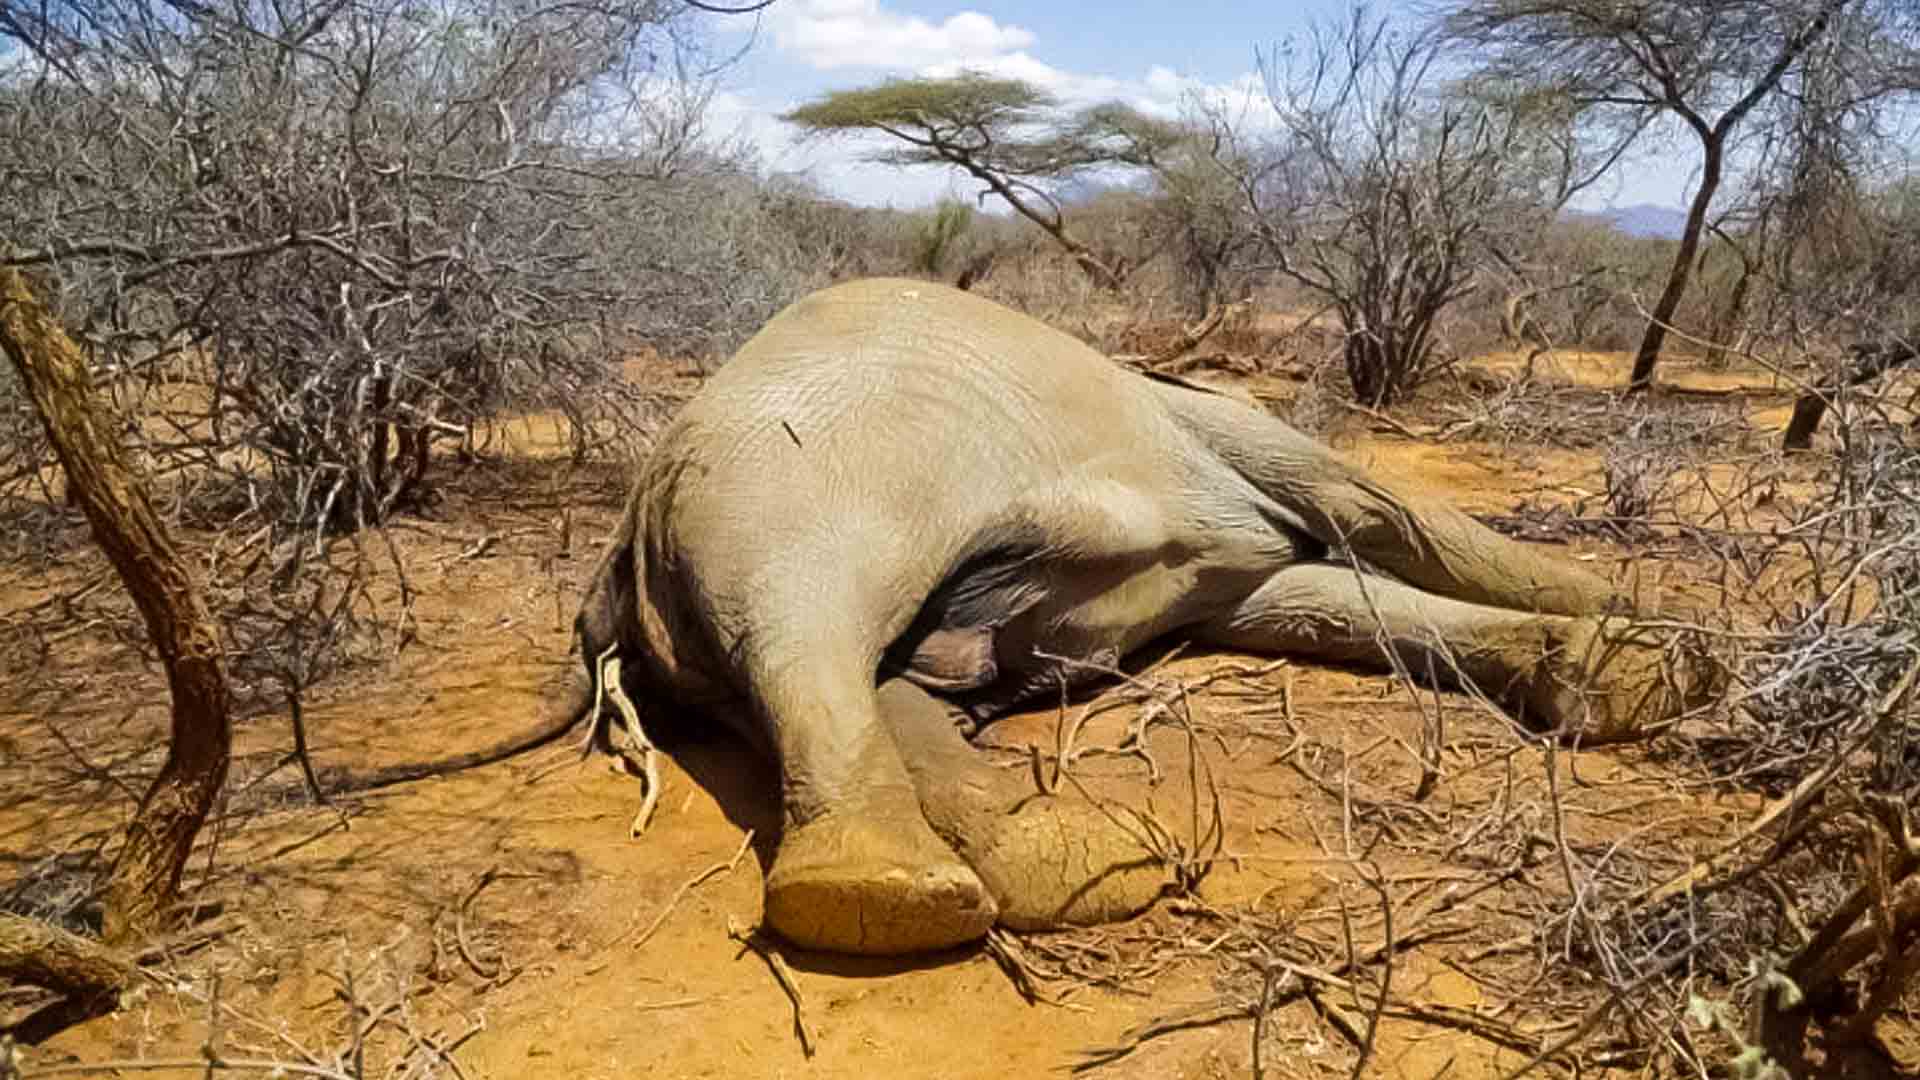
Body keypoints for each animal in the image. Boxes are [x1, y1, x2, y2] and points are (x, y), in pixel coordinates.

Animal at [570, 276, 1712, 958]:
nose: (984, 648)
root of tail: (634, 518)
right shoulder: (1229, 434)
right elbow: (1374, 513)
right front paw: (1657, 647)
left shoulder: (1217, 556)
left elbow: (1321, 603)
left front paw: (1629, 671)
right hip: (795, 481)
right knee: (810, 628)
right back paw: (895, 893)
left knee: (855, 672)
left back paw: (1064, 864)